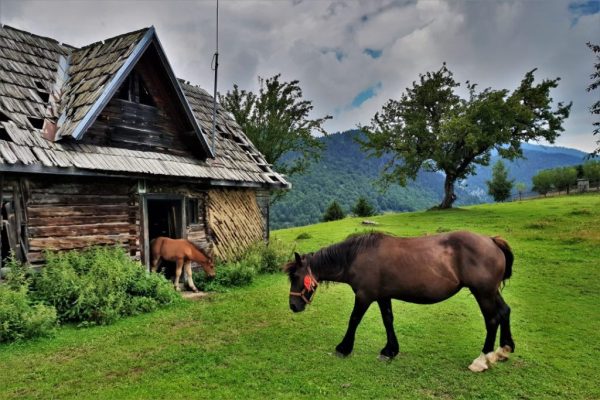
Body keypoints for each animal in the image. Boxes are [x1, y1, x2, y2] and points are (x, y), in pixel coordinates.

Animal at [286, 231, 516, 372]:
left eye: (296, 276)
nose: (293, 306)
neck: (357, 256)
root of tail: (491, 240)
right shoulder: (382, 296)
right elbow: (388, 320)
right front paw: (389, 351)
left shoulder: (364, 296)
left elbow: (354, 320)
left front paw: (343, 348)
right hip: (491, 292)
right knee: (505, 312)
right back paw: (503, 351)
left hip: (483, 293)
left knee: (492, 320)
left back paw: (482, 360)